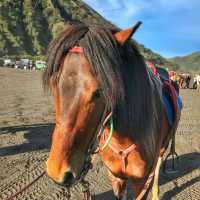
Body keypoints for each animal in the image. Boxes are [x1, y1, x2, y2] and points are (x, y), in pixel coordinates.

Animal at [43, 21, 181, 199]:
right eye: (54, 83)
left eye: (99, 92)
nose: (57, 171)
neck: (123, 140)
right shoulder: (115, 177)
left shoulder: (142, 182)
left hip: (163, 148)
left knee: (158, 167)